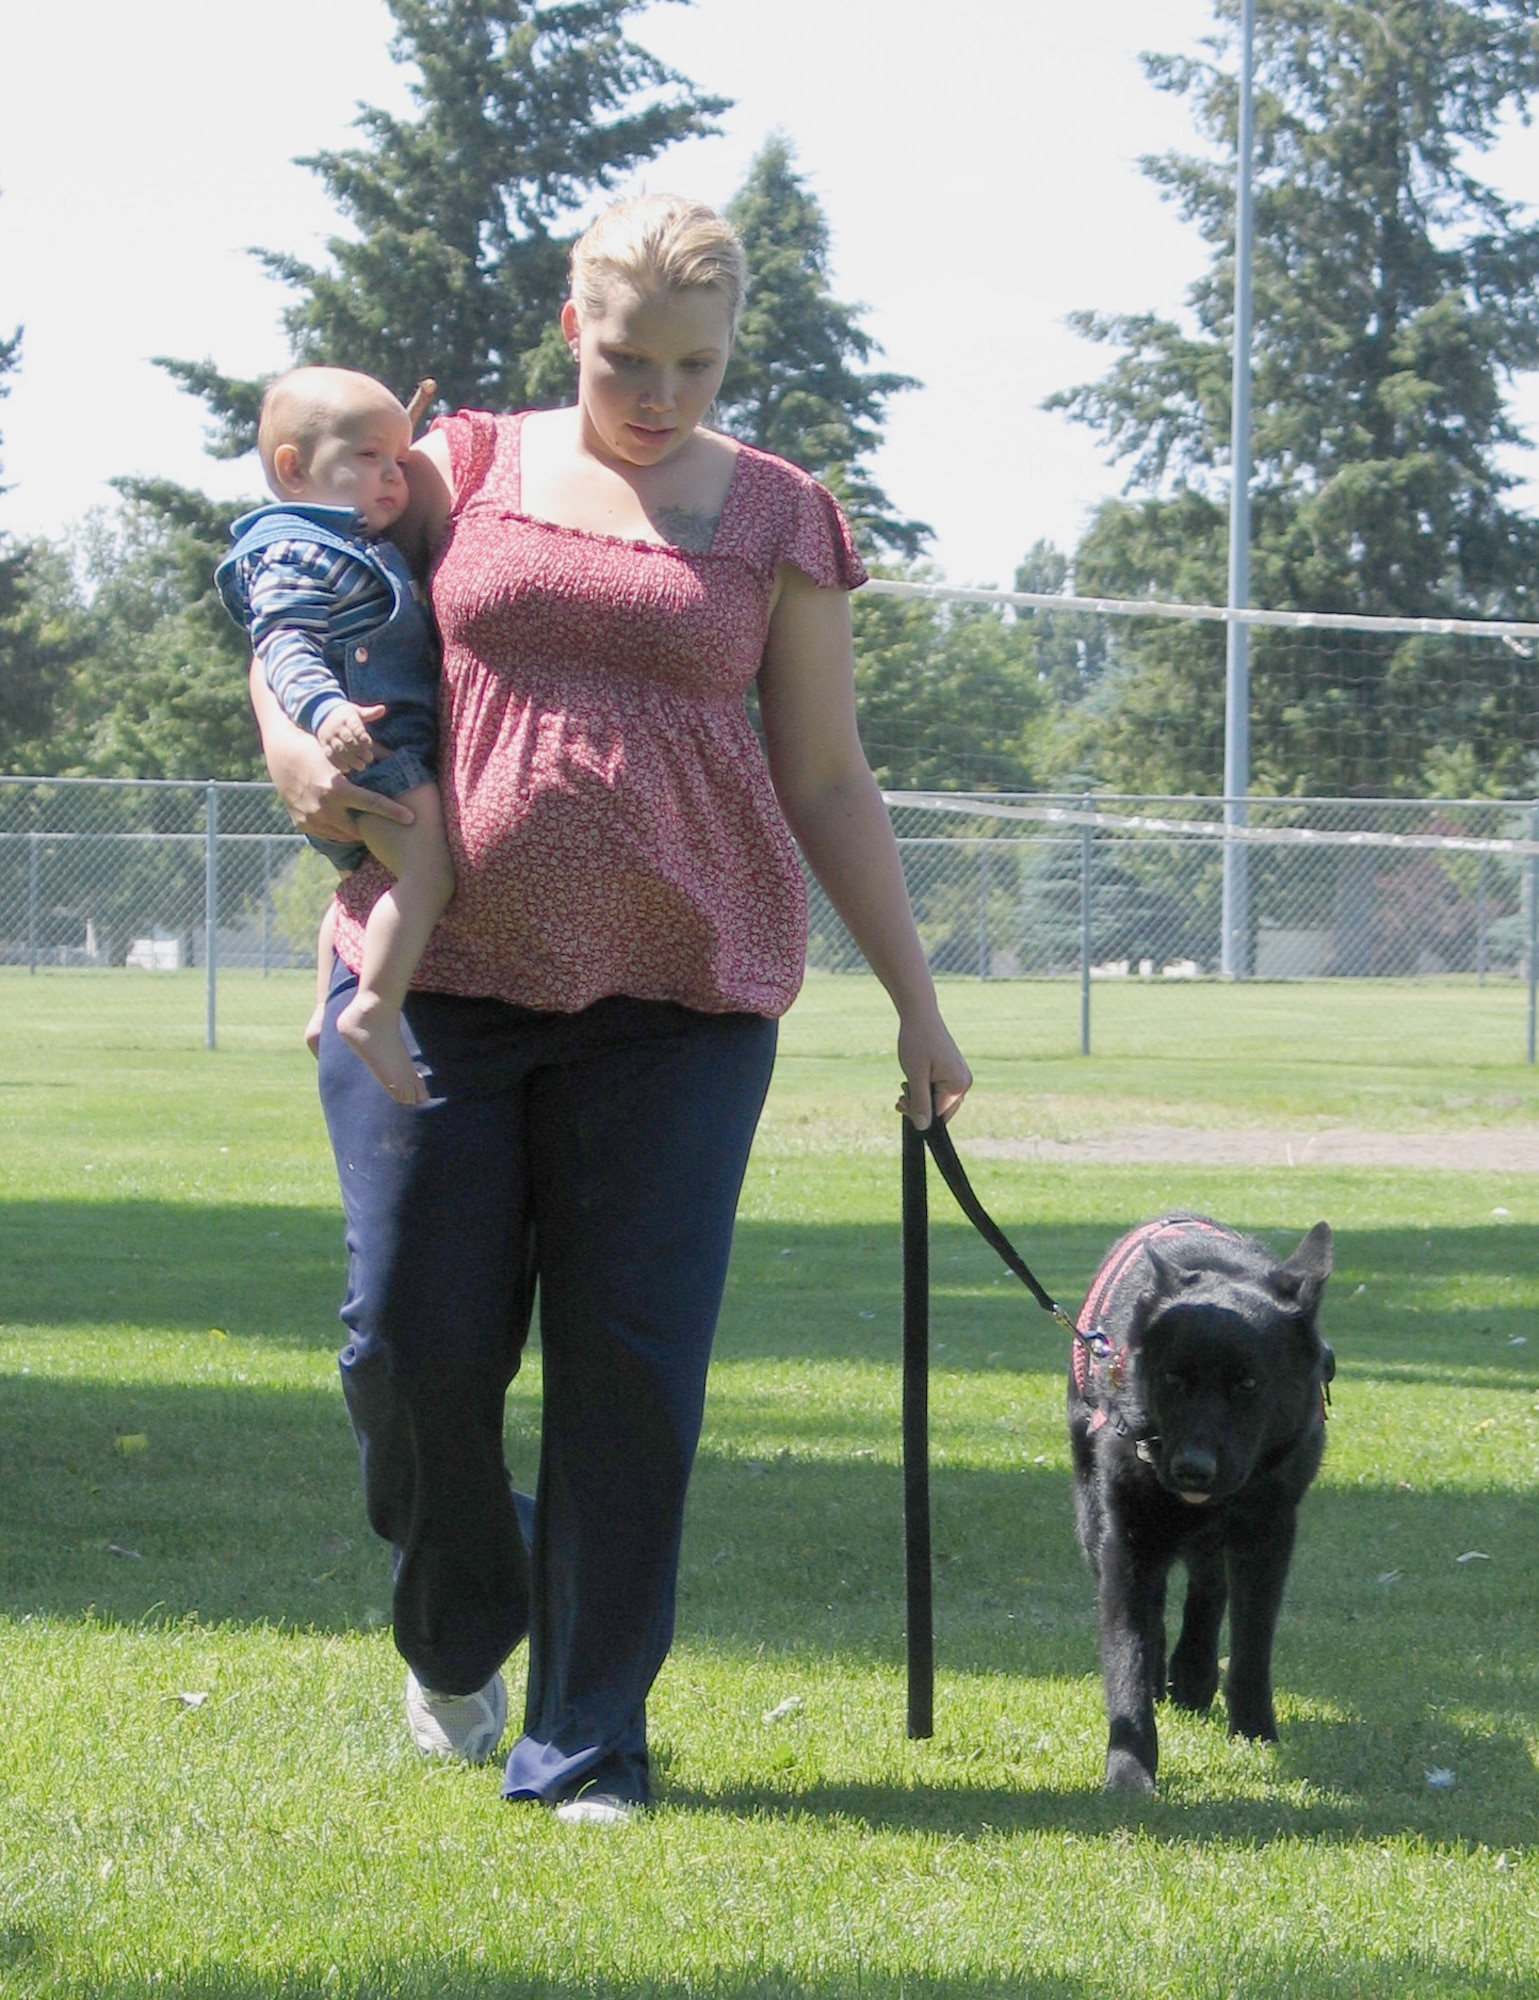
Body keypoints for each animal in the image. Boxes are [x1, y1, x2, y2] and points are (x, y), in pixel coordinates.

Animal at [1071, 1216, 1327, 1800]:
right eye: (1174, 1379)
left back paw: (1192, 1674)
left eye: (1248, 1383)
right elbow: (1127, 1651)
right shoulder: (1128, 1541)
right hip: (1093, 1516)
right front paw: (1129, 1772)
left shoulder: (1267, 1535)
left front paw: (1254, 1733)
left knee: (1209, 1588)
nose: (1192, 1470)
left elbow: (1252, 1644)